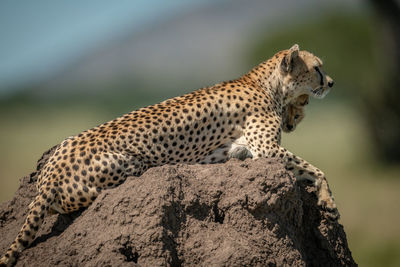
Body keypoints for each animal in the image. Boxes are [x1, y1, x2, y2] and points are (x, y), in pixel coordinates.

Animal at [0, 45, 334, 266]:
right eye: (317, 67)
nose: (331, 83)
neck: (266, 84)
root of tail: (49, 178)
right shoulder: (266, 149)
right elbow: (315, 168)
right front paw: (328, 201)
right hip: (129, 163)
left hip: (67, 142)